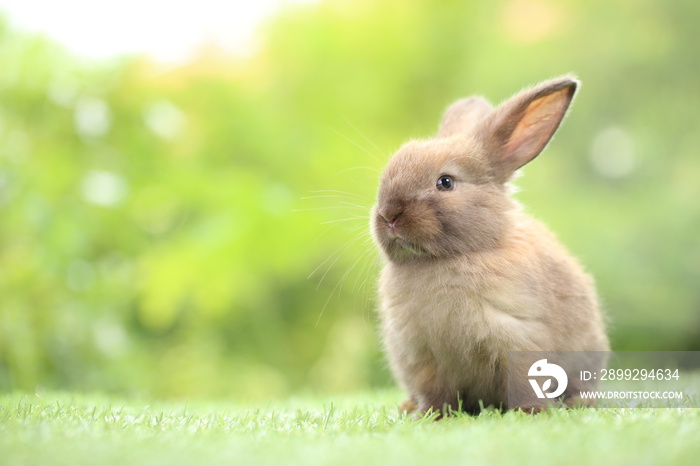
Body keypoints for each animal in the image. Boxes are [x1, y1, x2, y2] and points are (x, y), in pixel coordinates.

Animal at [372, 75, 608, 416]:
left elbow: (525, 383)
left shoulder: (520, 339)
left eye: (445, 182)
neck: (449, 257)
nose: (389, 215)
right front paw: (427, 417)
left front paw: (531, 412)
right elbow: (434, 393)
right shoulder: (423, 358)